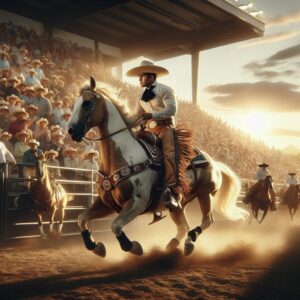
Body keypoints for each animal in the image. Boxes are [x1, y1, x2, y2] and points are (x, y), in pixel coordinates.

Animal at [68, 78, 248, 258]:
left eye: (86, 103)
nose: (71, 131)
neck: (124, 154)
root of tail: (213, 162)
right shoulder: (106, 203)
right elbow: (81, 218)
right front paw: (96, 246)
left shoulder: (137, 203)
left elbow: (115, 226)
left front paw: (134, 247)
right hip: (179, 204)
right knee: (183, 226)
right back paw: (173, 245)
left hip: (205, 194)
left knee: (206, 221)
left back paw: (190, 241)